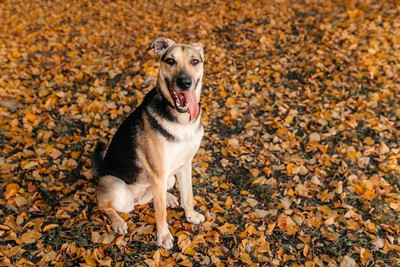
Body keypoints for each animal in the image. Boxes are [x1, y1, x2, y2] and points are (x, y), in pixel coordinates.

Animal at [93, 37, 206, 249]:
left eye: (195, 61)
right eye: (170, 61)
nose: (184, 83)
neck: (180, 120)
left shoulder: (184, 165)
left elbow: (188, 196)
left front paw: (191, 217)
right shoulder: (158, 173)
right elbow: (160, 212)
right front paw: (164, 237)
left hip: (167, 179)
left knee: (153, 197)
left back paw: (168, 197)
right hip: (117, 188)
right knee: (104, 205)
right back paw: (118, 221)